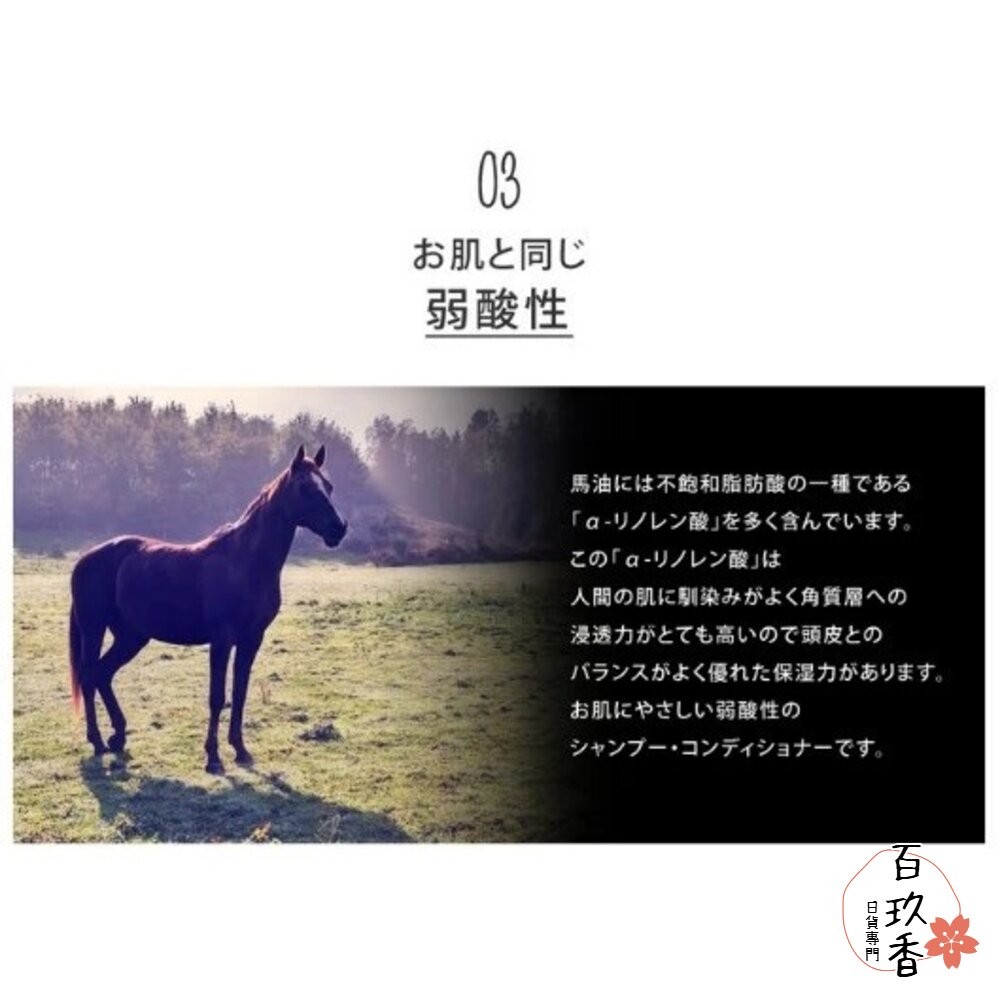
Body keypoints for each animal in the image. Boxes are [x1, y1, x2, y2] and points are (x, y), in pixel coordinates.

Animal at [68, 445, 348, 773]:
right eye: (305, 487)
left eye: (328, 486)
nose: (338, 528)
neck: (245, 561)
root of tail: (86, 558)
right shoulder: (222, 639)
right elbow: (217, 697)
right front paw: (213, 757)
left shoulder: (252, 639)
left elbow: (240, 692)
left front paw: (240, 750)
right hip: (94, 629)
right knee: (89, 677)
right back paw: (98, 741)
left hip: (131, 637)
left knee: (102, 674)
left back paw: (118, 737)